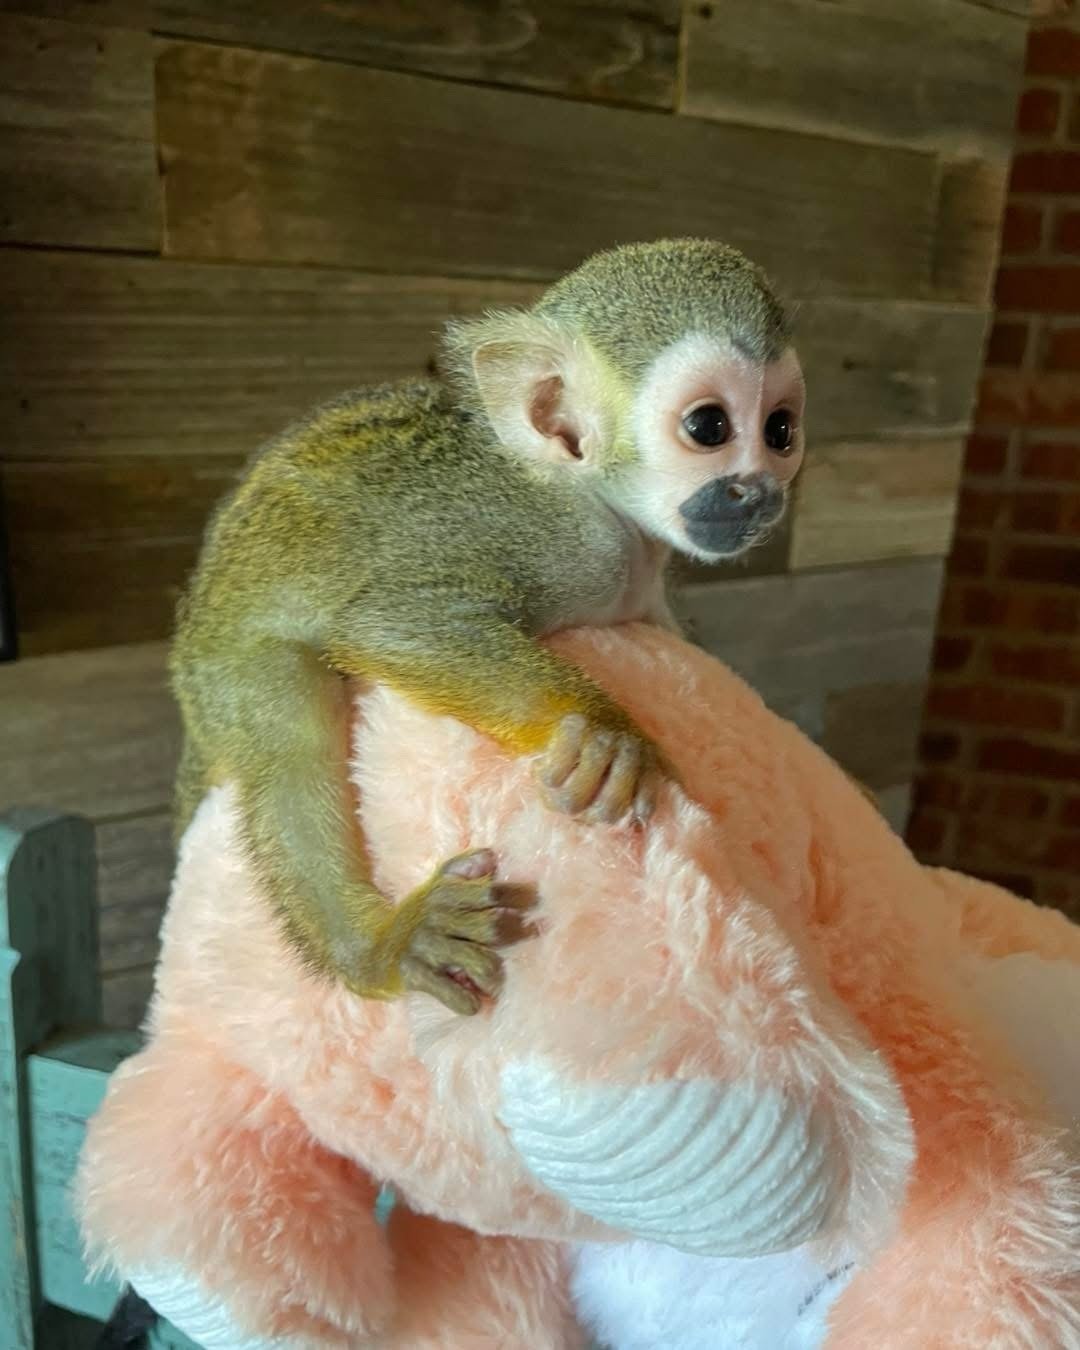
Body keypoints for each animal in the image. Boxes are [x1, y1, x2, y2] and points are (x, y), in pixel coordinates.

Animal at [170, 238, 806, 1016]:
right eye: (709, 427)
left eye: (780, 432)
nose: (761, 491)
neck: (608, 511)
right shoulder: (566, 547)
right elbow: (398, 625)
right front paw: (606, 735)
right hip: (218, 663)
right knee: (288, 733)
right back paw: (374, 946)